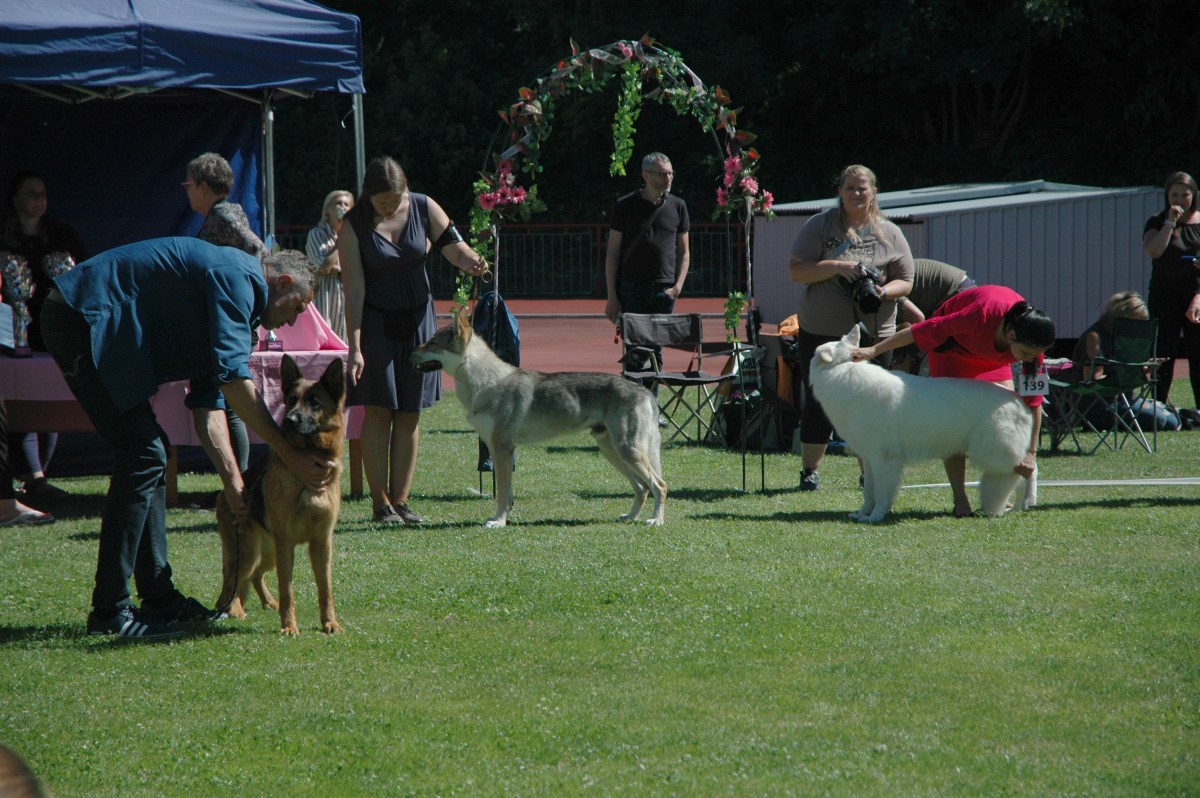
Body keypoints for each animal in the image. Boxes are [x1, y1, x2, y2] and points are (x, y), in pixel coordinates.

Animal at [216, 355, 345, 633]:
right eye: (291, 399)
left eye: (314, 402)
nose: (290, 420)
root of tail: (223, 494)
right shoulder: (286, 542)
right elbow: (288, 589)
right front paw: (289, 627)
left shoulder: (322, 542)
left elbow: (326, 589)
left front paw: (330, 623)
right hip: (250, 552)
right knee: (229, 585)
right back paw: (234, 610)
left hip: (269, 553)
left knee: (254, 576)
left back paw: (266, 603)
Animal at [412, 307, 667, 525]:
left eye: (432, 343)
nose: (410, 352)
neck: (485, 383)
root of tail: (644, 391)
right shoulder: (497, 450)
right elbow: (508, 493)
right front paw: (503, 517)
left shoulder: (502, 449)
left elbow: (501, 493)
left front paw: (498, 522)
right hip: (613, 452)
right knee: (643, 488)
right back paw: (630, 517)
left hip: (627, 451)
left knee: (659, 485)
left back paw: (656, 520)